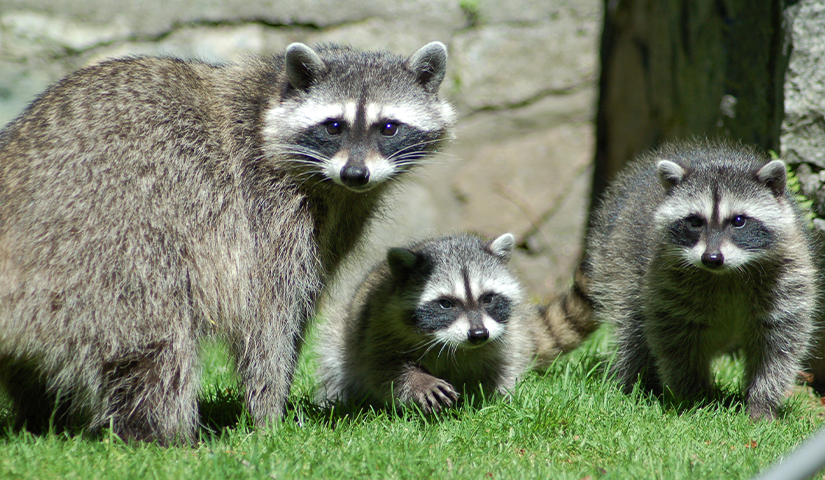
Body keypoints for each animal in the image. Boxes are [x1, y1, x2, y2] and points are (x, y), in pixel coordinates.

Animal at [0, 42, 458, 442]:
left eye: (389, 127)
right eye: (333, 126)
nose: (356, 174)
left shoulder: (335, 221)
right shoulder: (262, 212)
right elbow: (268, 317)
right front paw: (268, 416)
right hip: (103, 246)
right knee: (155, 340)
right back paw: (163, 433)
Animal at [312, 232, 596, 412]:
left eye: (488, 298)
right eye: (446, 303)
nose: (479, 334)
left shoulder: (506, 336)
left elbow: (502, 367)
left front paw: (494, 399)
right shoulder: (378, 323)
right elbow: (383, 369)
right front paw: (419, 382)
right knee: (336, 356)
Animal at [584, 139, 816, 420]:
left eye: (739, 221)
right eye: (694, 221)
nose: (711, 258)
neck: (727, 273)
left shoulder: (787, 274)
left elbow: (778, 345)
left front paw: (762, 404)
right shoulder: (666, 279)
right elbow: (676, 341)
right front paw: (696, 399)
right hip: (620, 260)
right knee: (633, 329)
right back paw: (637, 386)